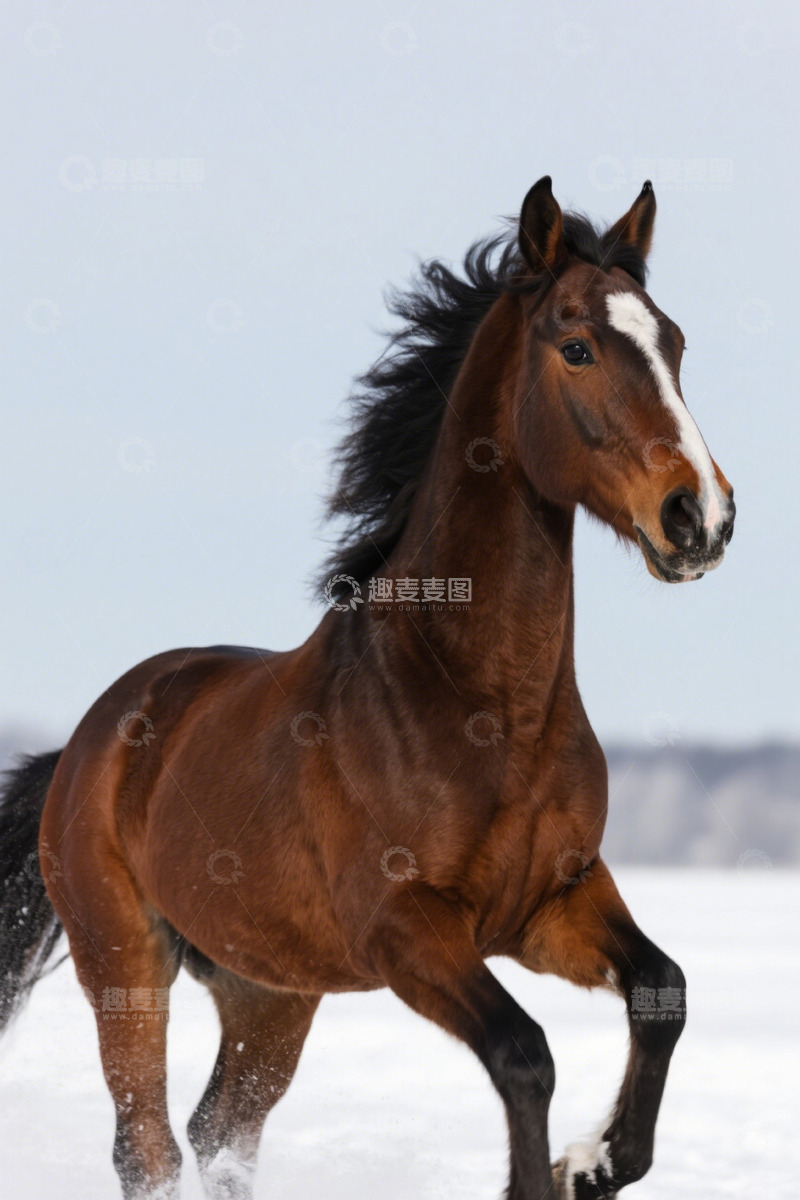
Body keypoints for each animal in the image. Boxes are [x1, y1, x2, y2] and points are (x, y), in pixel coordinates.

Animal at [0, 175, 735, 1200]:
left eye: (674, 343)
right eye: (578, 346)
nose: (700, 518)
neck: (486, 709)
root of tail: (89, 739)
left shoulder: (552, 902)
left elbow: (663, 990)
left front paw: (592, 1163)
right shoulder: (407, 929)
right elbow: (525, 1054)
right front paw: (551, 1170)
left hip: (271, 989)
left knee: (223, 1128)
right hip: (126, 963)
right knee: (148, 1146)